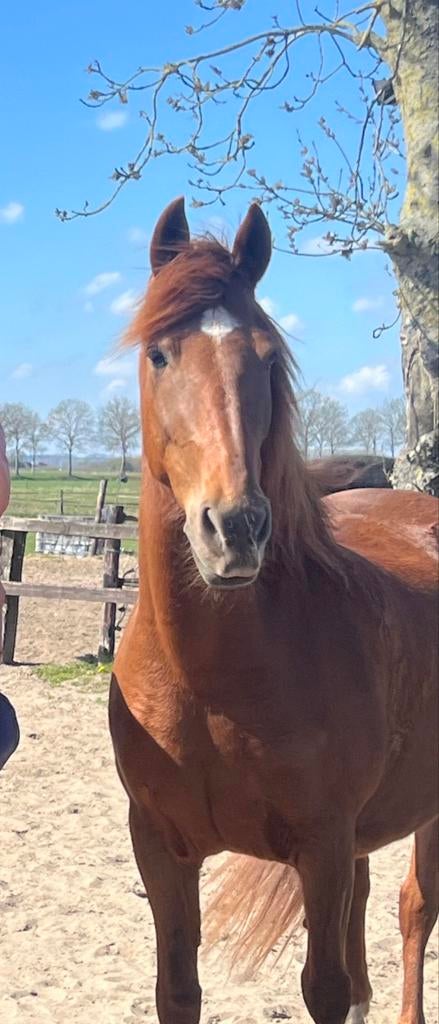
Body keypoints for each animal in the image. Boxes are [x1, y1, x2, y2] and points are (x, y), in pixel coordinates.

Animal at [109, 197, 438, 1024]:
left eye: (263, 358)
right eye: (159, 355)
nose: (234, 529)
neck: (213, 680)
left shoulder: (320, 847)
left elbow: (324, 989)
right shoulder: (159, 848)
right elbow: (177, 991)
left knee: (415, 908)